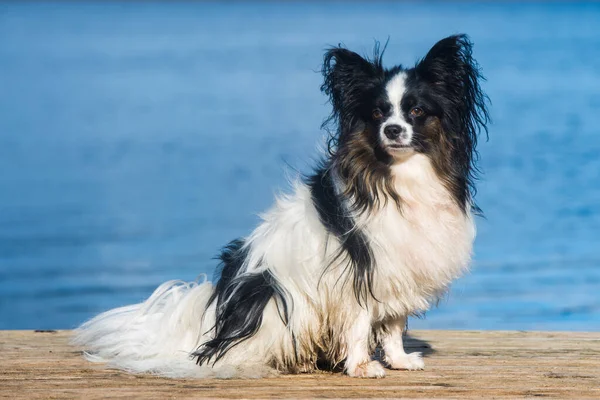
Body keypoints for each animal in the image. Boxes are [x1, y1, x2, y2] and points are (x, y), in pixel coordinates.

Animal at [74, 33, 488, 378]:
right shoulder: (356, 272)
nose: (393, 130)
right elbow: (359, 322)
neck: (397, 176)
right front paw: (361, 366)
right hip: (272, 295)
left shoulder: (398, 267)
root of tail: (214, 318)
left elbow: (393, 325)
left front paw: (399, 360)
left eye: (416, 111)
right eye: (377, 114)